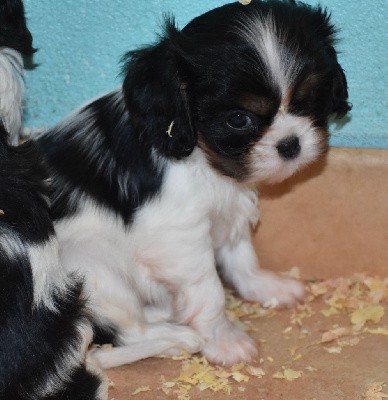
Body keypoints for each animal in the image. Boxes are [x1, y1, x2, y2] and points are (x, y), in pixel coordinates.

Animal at [36, 0, 352, 368]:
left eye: (307, 99)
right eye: (238, 119)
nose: (290, 144)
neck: (203, 158)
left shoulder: (229, 210)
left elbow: (241, 255)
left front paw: (266, 288)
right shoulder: (181, 237)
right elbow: (208, 289)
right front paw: (224, 340)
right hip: (91, 268)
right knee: (123, 334)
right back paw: (177, 338)